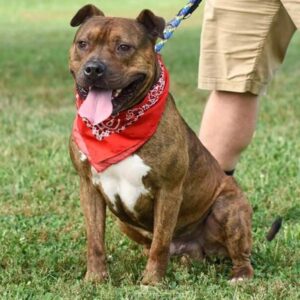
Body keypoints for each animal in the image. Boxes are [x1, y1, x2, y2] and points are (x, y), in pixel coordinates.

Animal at [68, 5, 278, 286]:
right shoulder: (88, 187)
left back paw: (240, 275)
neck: (116, 126)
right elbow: (95, 241)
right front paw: (95, 278)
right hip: (124, 222)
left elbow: (160, 244)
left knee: (239, 254)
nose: (93, 69)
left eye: (123, 47)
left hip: (229, 207)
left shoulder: (169, 190)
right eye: (83, 44)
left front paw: (151, 283)